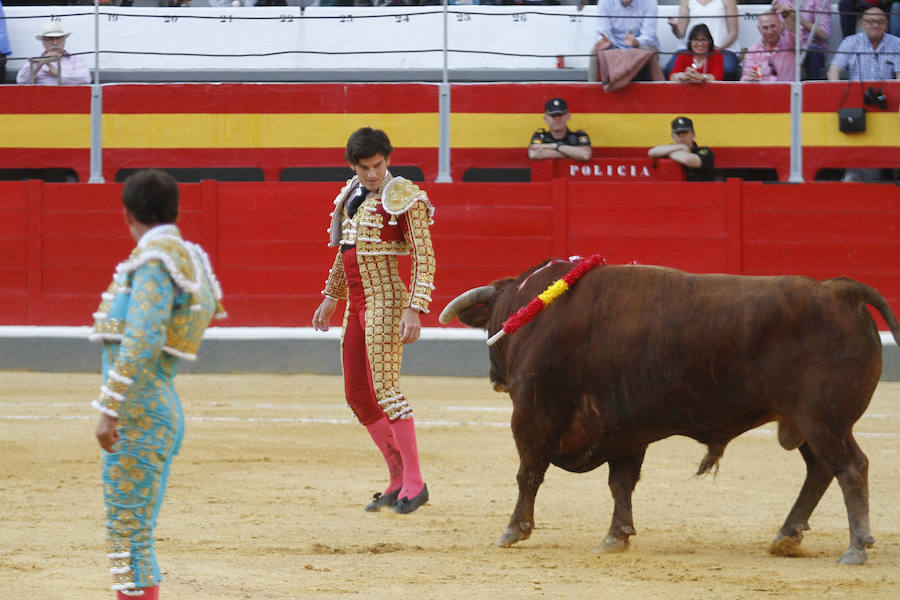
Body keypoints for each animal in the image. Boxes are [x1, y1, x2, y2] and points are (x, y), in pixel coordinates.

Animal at [438, 260, 900, 564]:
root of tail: (839, 290)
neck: (535, 305)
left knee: (850, 468)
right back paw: (786, 536)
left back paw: (855, 547)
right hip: (804, 423)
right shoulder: (622, 429)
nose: (495, 379)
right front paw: (616, 536)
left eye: (491, 325)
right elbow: (621, 483)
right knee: (820, 470)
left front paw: (513, 530)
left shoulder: (533, 417)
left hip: (824, 421)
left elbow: (529, 473)